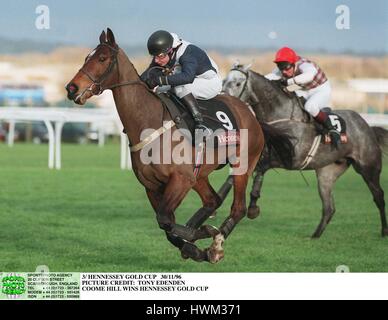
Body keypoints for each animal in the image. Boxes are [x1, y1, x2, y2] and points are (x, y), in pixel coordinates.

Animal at [64, 28, 266, 262]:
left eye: (102, 58)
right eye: (86, 57)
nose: (71, 88)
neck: (148, 122)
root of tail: (248, 111)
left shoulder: (180, 180)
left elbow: (165, 220)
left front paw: (205, 234)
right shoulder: (153, 186)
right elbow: (166, 224)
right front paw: (193, 247)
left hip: (242, 166)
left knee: (238, 208)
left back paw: (216, 244)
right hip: (198, 174)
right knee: (212, 201)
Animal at [220, 63, 388, 238]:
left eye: (237, 83)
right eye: (224, 81)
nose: (224, 102)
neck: (281, 115)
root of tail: (367, 126)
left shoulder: (291, 158)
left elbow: (261, 169)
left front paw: (252, 207)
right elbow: (237, 176)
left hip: (368, 168)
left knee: (379, 196)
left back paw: (384, 231)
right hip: (326, 174)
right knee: (329, 207)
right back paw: (315, 235)